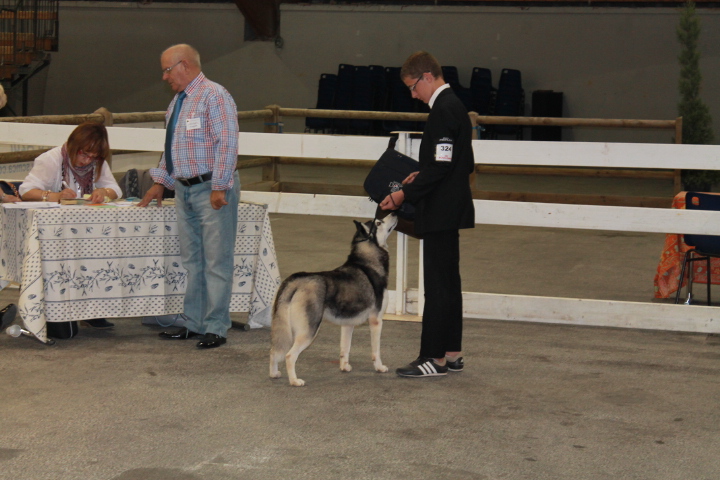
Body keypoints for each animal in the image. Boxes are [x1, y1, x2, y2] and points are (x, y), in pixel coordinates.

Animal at [268, 214, 396, 386]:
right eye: (379, 222)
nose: (395, 213)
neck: (368, 262)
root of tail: (297, 279)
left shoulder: (348, 323)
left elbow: (344, 348)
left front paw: (345, 366)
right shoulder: (376, 321)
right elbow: (376, 351)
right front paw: (380, 367)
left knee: (274, 351)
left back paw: (274, 373)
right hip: (309, 329)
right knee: (289, 355)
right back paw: (295, 381)